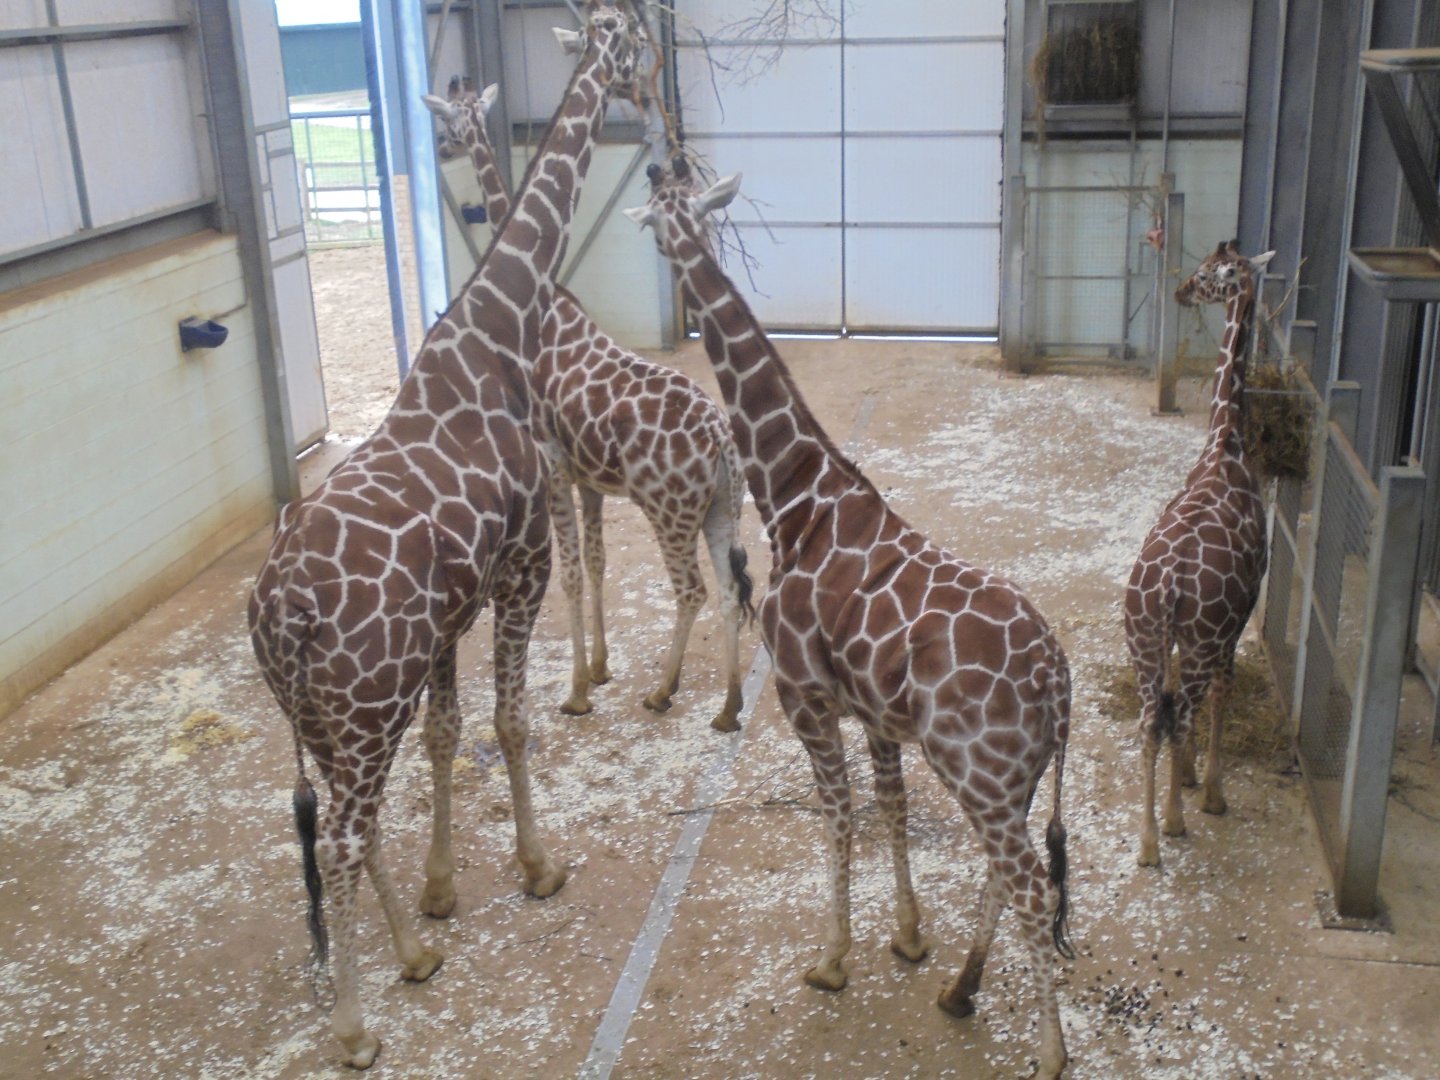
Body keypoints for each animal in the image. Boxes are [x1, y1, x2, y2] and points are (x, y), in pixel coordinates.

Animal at [247, 7, 641, 1067]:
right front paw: (537, 866)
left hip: (324, 715)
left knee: (350, 826)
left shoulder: (446, 622)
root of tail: (281, 613)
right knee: (341, 837)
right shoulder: (521, 564)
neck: (494, 334)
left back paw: (413, 958)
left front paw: (439, 895)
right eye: (627, 39)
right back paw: (353, 1028)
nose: (641, 83)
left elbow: (447, 735)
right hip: (362, 702)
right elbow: (508, 723)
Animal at [422, 78, 754, 731]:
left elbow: (572, 576)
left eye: (448, 118)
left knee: (693, 590)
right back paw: (728, 708)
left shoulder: (551, 468)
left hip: (669, 511)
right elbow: (597, 564)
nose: (441, 145)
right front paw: (599, 668)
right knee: (729, 590)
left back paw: (663, 690)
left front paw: (577, 691)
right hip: (719, 508)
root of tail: (722, 442)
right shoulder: (589, 480)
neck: (545, 308)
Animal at [624, 162, 1076, 1079]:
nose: (653, 170)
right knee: (1001, 874)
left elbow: (838, 818)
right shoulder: (875, 715)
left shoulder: (804, 696)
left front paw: (832, 959)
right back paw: (960, 990)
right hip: (1011, 780)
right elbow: (889, 811)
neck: (797, 494)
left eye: (659, 212)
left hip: (981, 773)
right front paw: (907, 938)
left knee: (1028, 884)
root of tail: (1061, 685)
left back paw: (1048, 1053)